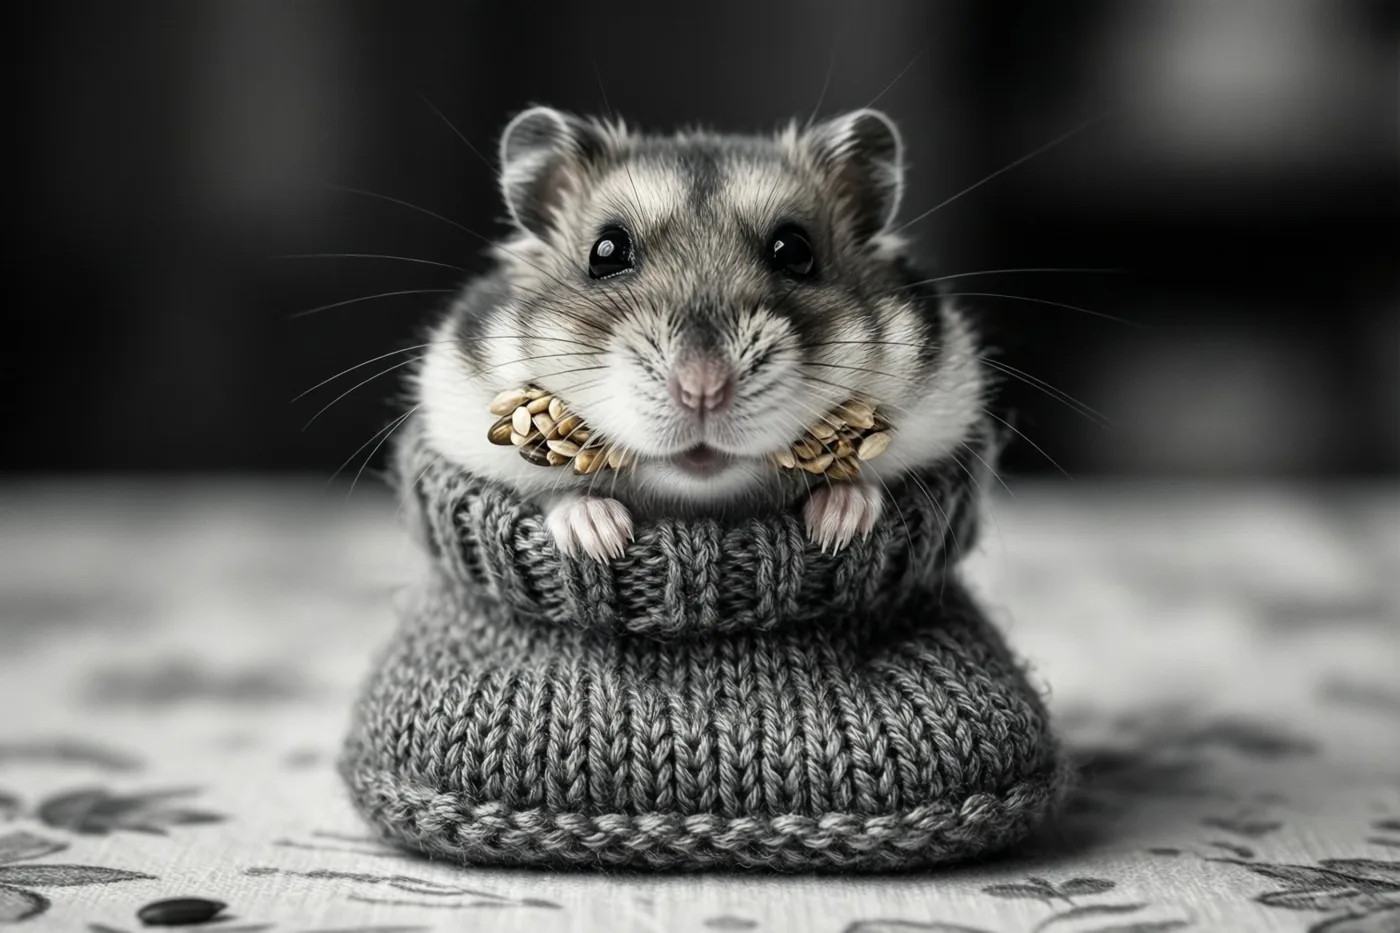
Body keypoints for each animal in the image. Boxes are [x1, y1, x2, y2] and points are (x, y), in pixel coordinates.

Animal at [414, 106, 987, 562]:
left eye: (796, 251)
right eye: (605, 252)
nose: (703, 390)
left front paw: (839, 526)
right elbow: (554, 493)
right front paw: (601, 541)